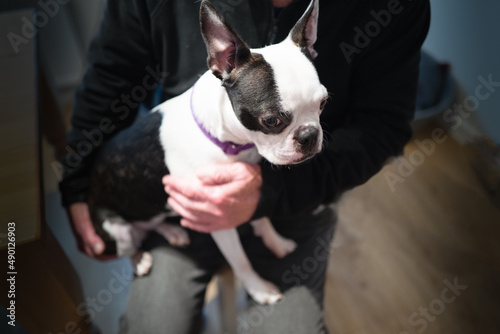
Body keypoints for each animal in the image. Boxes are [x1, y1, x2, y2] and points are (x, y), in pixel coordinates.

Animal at [87, 0, 328, 304]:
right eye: (271, 121)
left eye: (323, 104)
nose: (309, 135)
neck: (227, 140)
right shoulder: (218, 221)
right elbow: (241, 261)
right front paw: (259, 289)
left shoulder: (244, 192)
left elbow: (261, 217)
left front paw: (275, 242)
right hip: (115, 228)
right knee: (128, 246)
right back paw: (140, 258)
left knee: (150, 223)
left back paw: (172, 230)